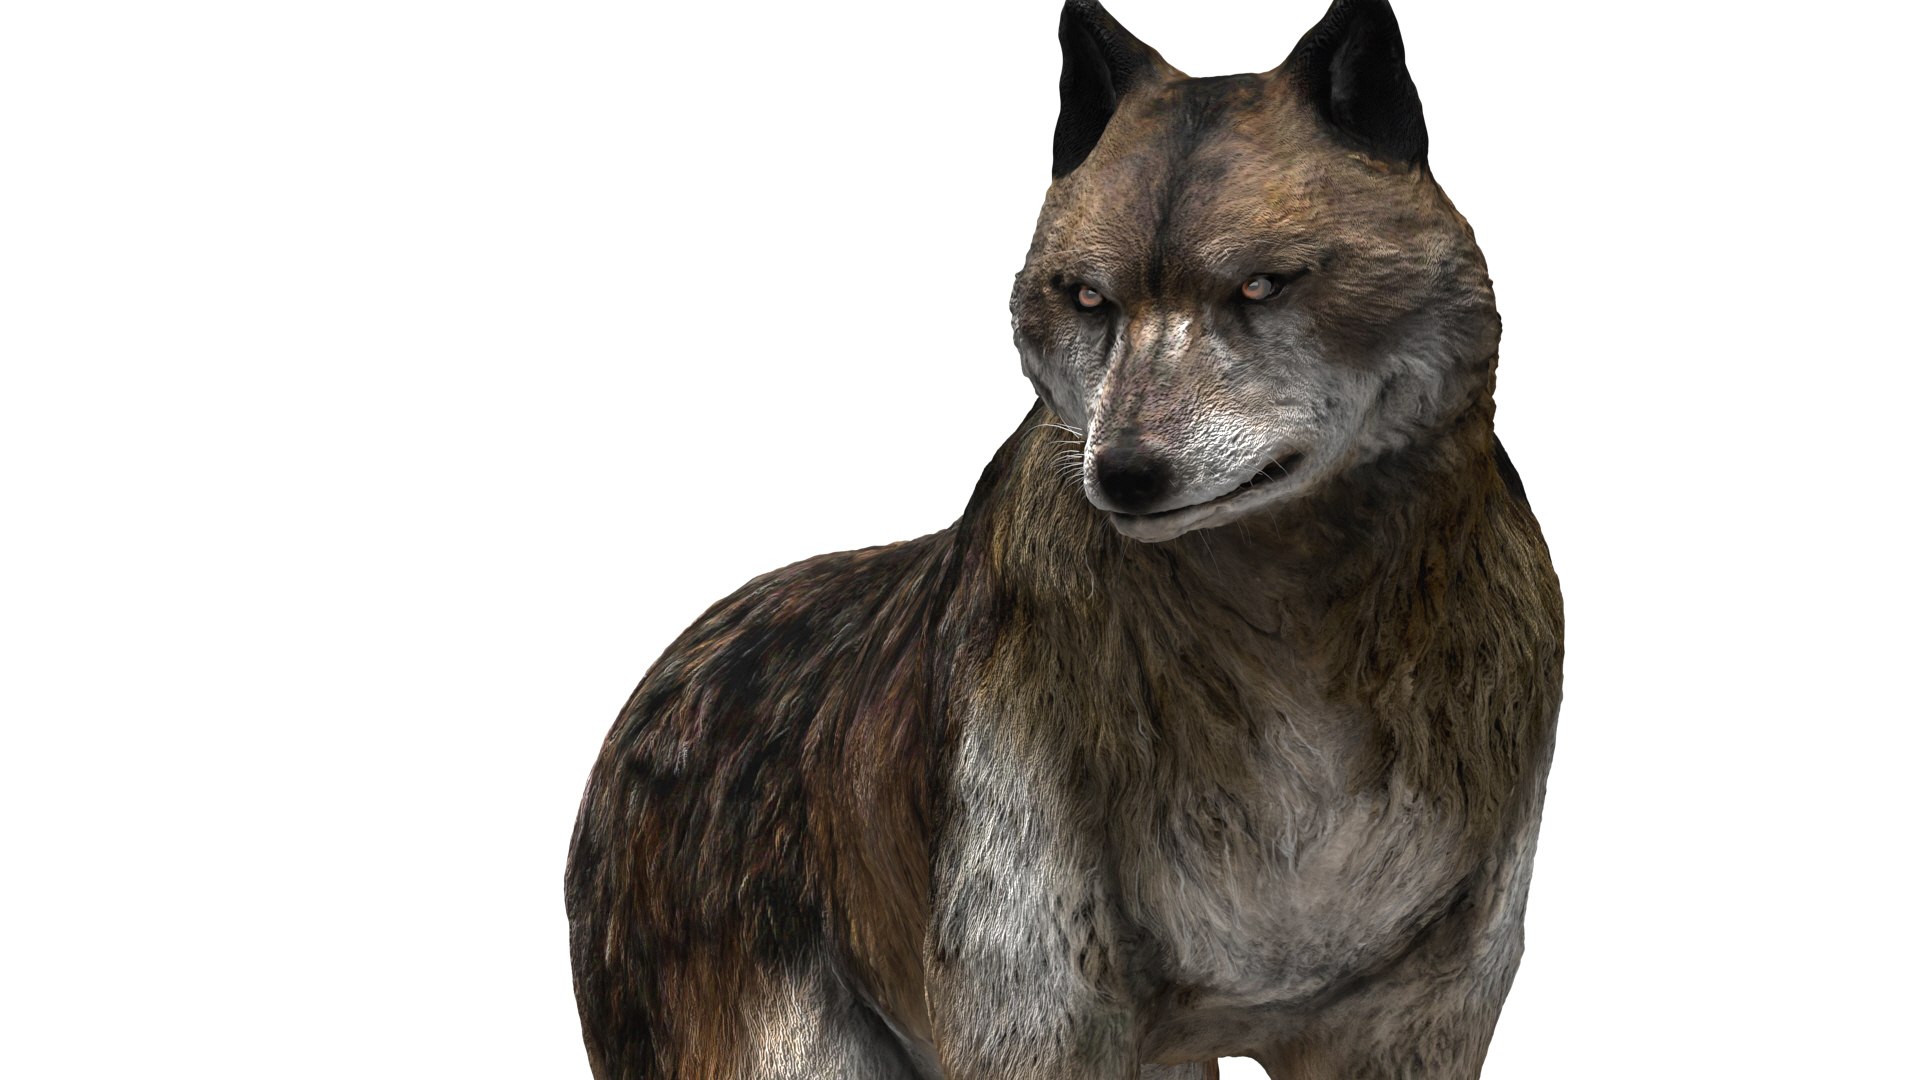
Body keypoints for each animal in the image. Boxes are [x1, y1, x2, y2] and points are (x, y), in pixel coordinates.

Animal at [565, 0, 1563, 1077]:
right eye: (1089, 298)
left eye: (1261, 287)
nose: (1124, 472)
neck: (1289, 656)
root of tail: (676, 659)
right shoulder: (1044, 1023)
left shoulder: (1411, 1025)